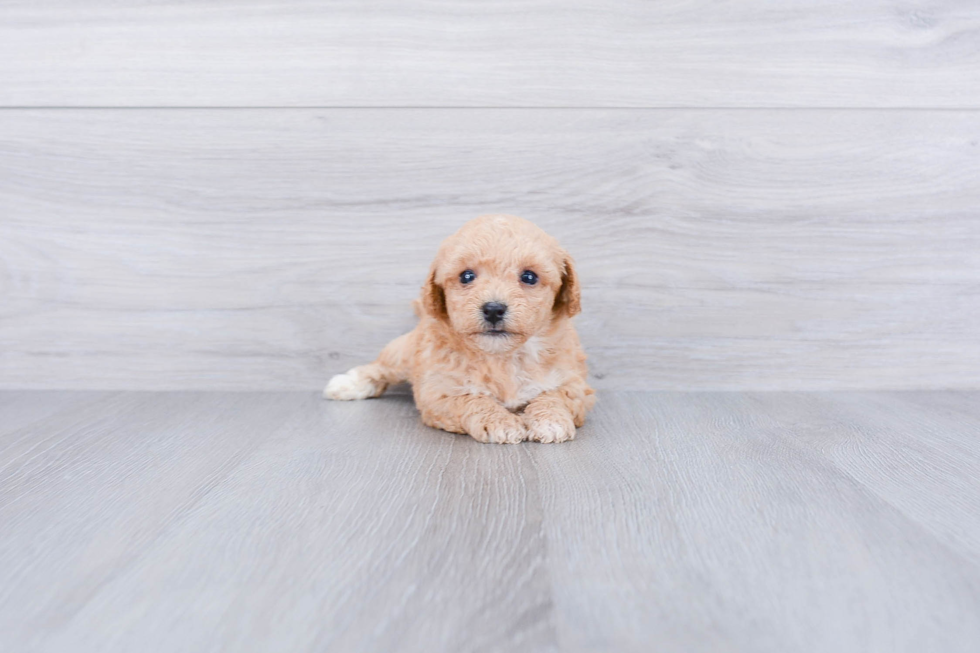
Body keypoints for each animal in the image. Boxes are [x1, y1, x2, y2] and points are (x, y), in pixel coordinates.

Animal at [326, 214, 592, 444]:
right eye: (466, 276)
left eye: (529, 277)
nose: (493, 309)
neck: (503, 358)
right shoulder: (438, 391)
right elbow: (472, 399)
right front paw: (501, 423)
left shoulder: (575, 383)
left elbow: (555, 396)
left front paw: (551, 420)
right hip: (402, 353)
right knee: (380, 368)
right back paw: (348, 384)